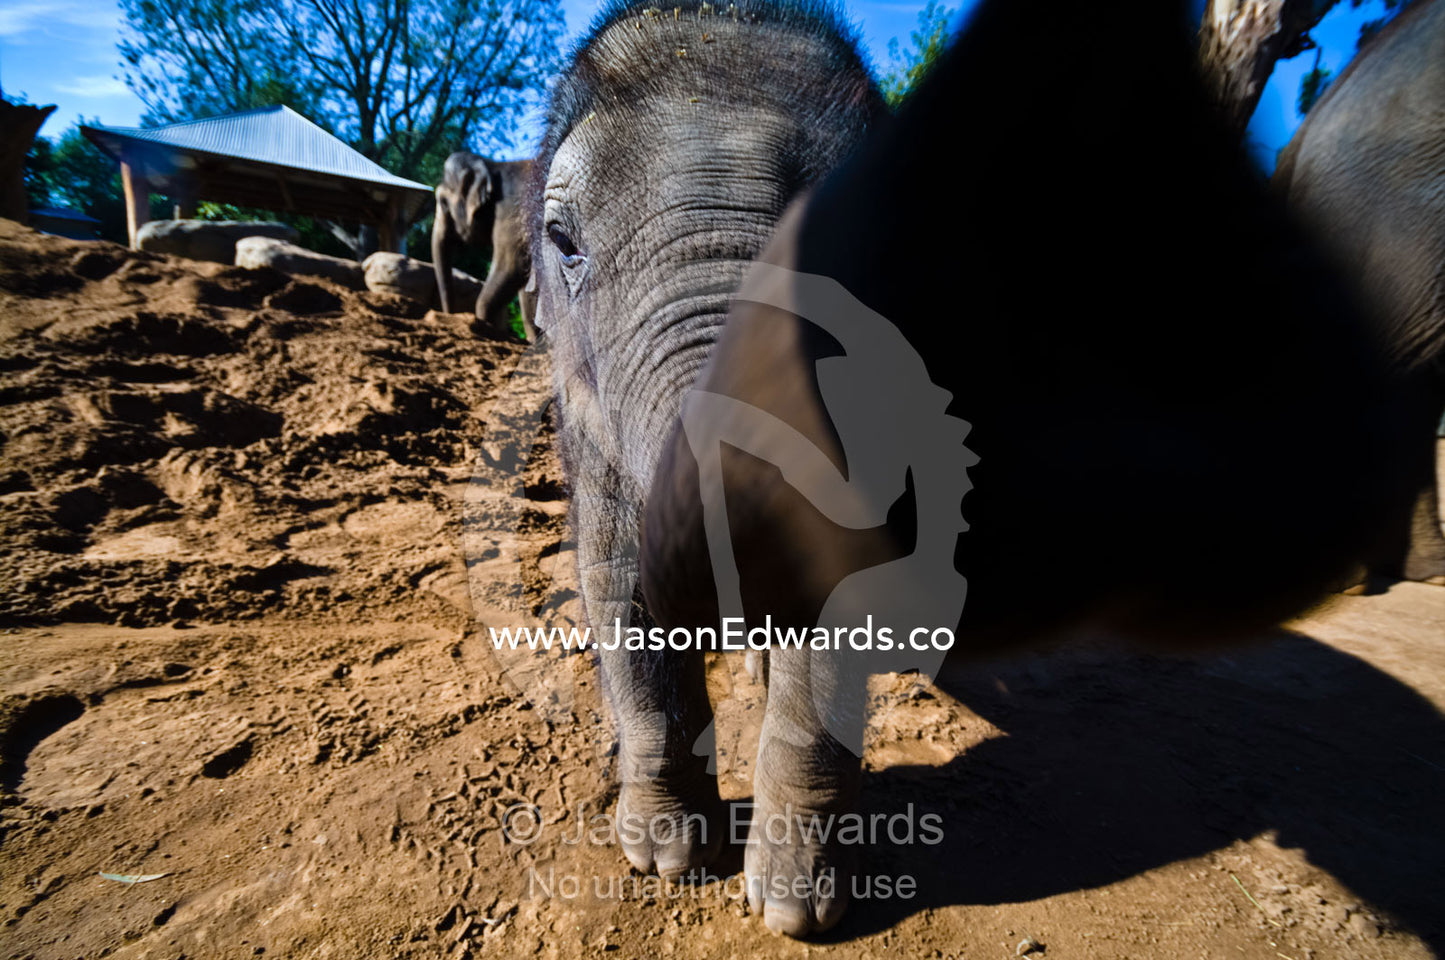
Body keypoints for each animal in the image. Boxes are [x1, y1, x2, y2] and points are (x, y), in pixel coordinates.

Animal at [432, 151, 536, 339]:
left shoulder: (513, 214)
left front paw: (485, 328)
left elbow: (512, 266)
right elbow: (526, 279)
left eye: (443, 202)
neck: (491, 166)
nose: (446, 317)